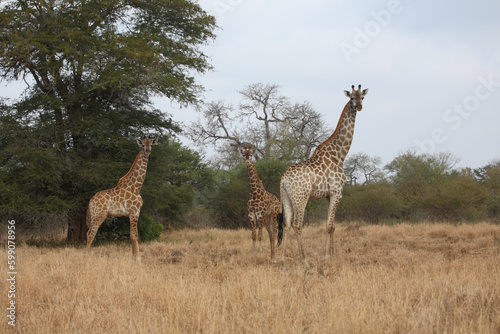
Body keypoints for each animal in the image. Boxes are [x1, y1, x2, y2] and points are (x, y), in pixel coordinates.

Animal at [278, 85, 368, 268]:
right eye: (351, 98)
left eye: (362, 97)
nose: (359, 106)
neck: (340, 155)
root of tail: (284, 179)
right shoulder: (337, 192)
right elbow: (328, 226)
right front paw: (327, 257)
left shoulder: (328, 195)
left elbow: (332, 225)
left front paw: (332, 255)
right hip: (301, 197)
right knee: (297, 225)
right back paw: (304, 261)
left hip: (286, 197)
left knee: (286, 223)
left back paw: (282, 260)